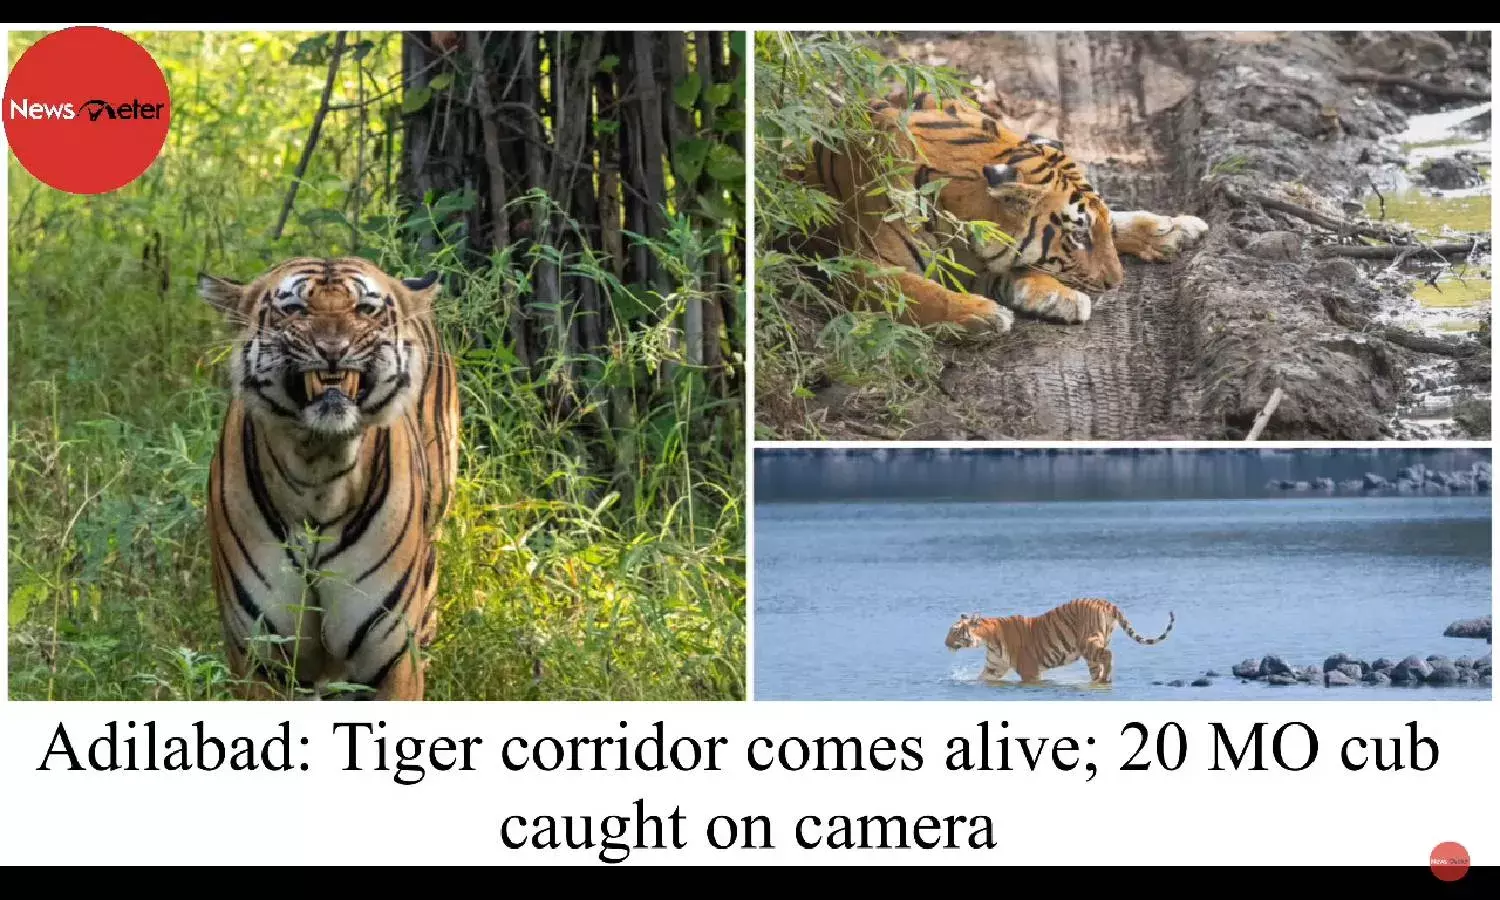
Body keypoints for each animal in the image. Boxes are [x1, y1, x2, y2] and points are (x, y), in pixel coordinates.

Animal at [196, 257, 460, 701]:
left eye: (365, 310)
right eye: (294, 309)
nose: (333, 350)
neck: (318, 474)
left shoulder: (391, 659)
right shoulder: (258, 657)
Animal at [787, 91, 1208, 334]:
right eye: (1078, 236)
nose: (1115, 284)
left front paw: (1056, 296)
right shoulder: (860, 269)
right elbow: (924, 293)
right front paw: (985, 314)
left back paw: (1178, 229)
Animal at [944, 598, 1175, 685]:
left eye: (955, 631)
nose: (945, 644)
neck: (988, 639)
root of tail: (1105, 602)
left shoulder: (1029, 670)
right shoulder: (994, 667)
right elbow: (981, 678)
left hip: (1088, 643)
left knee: (1108, 656)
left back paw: (1105, 679)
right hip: (1092, 650)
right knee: (1100, 663)